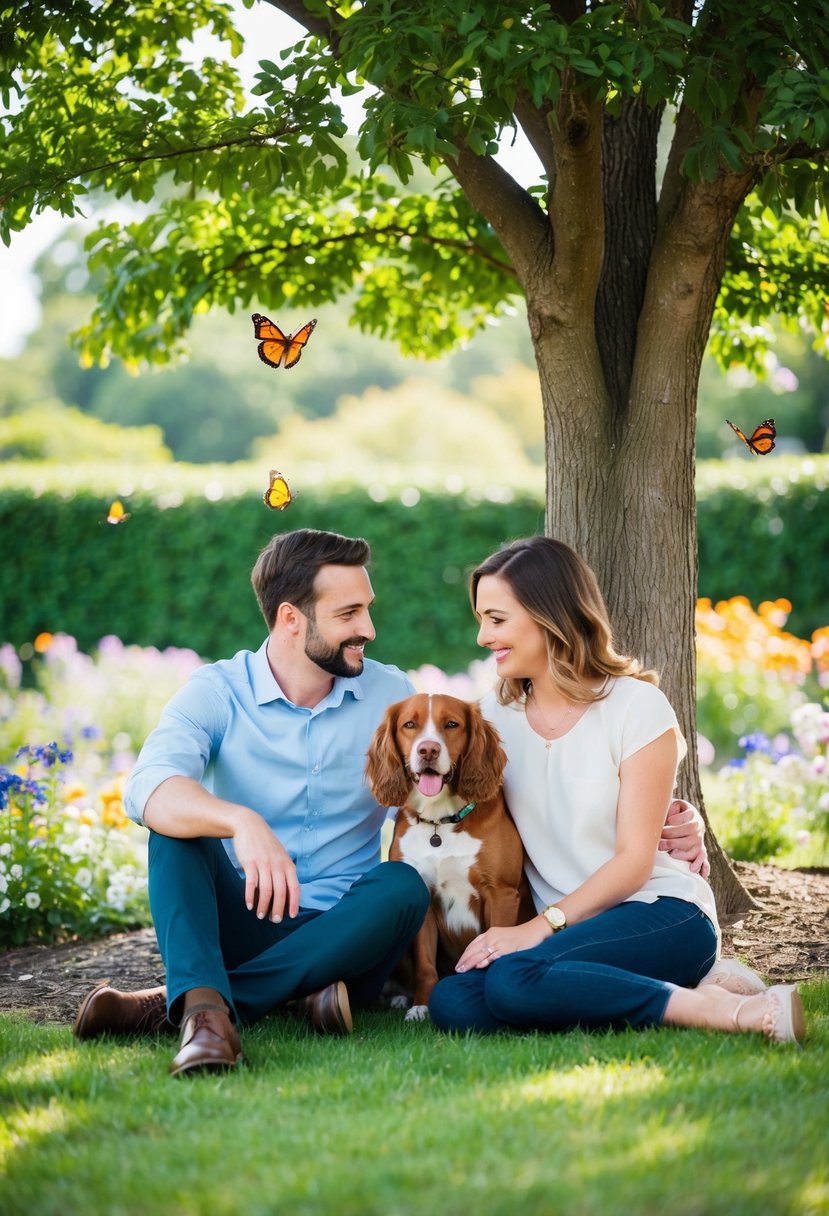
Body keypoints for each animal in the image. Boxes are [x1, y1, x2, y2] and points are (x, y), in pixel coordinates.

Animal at [364, 695, 532, 1016]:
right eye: (409, 724)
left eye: (452, 724)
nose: (428, 750)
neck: (440, 825)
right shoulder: (424, 896)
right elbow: (425, 965)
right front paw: (421, 1005)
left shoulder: (501, 893)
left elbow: (491, 945)